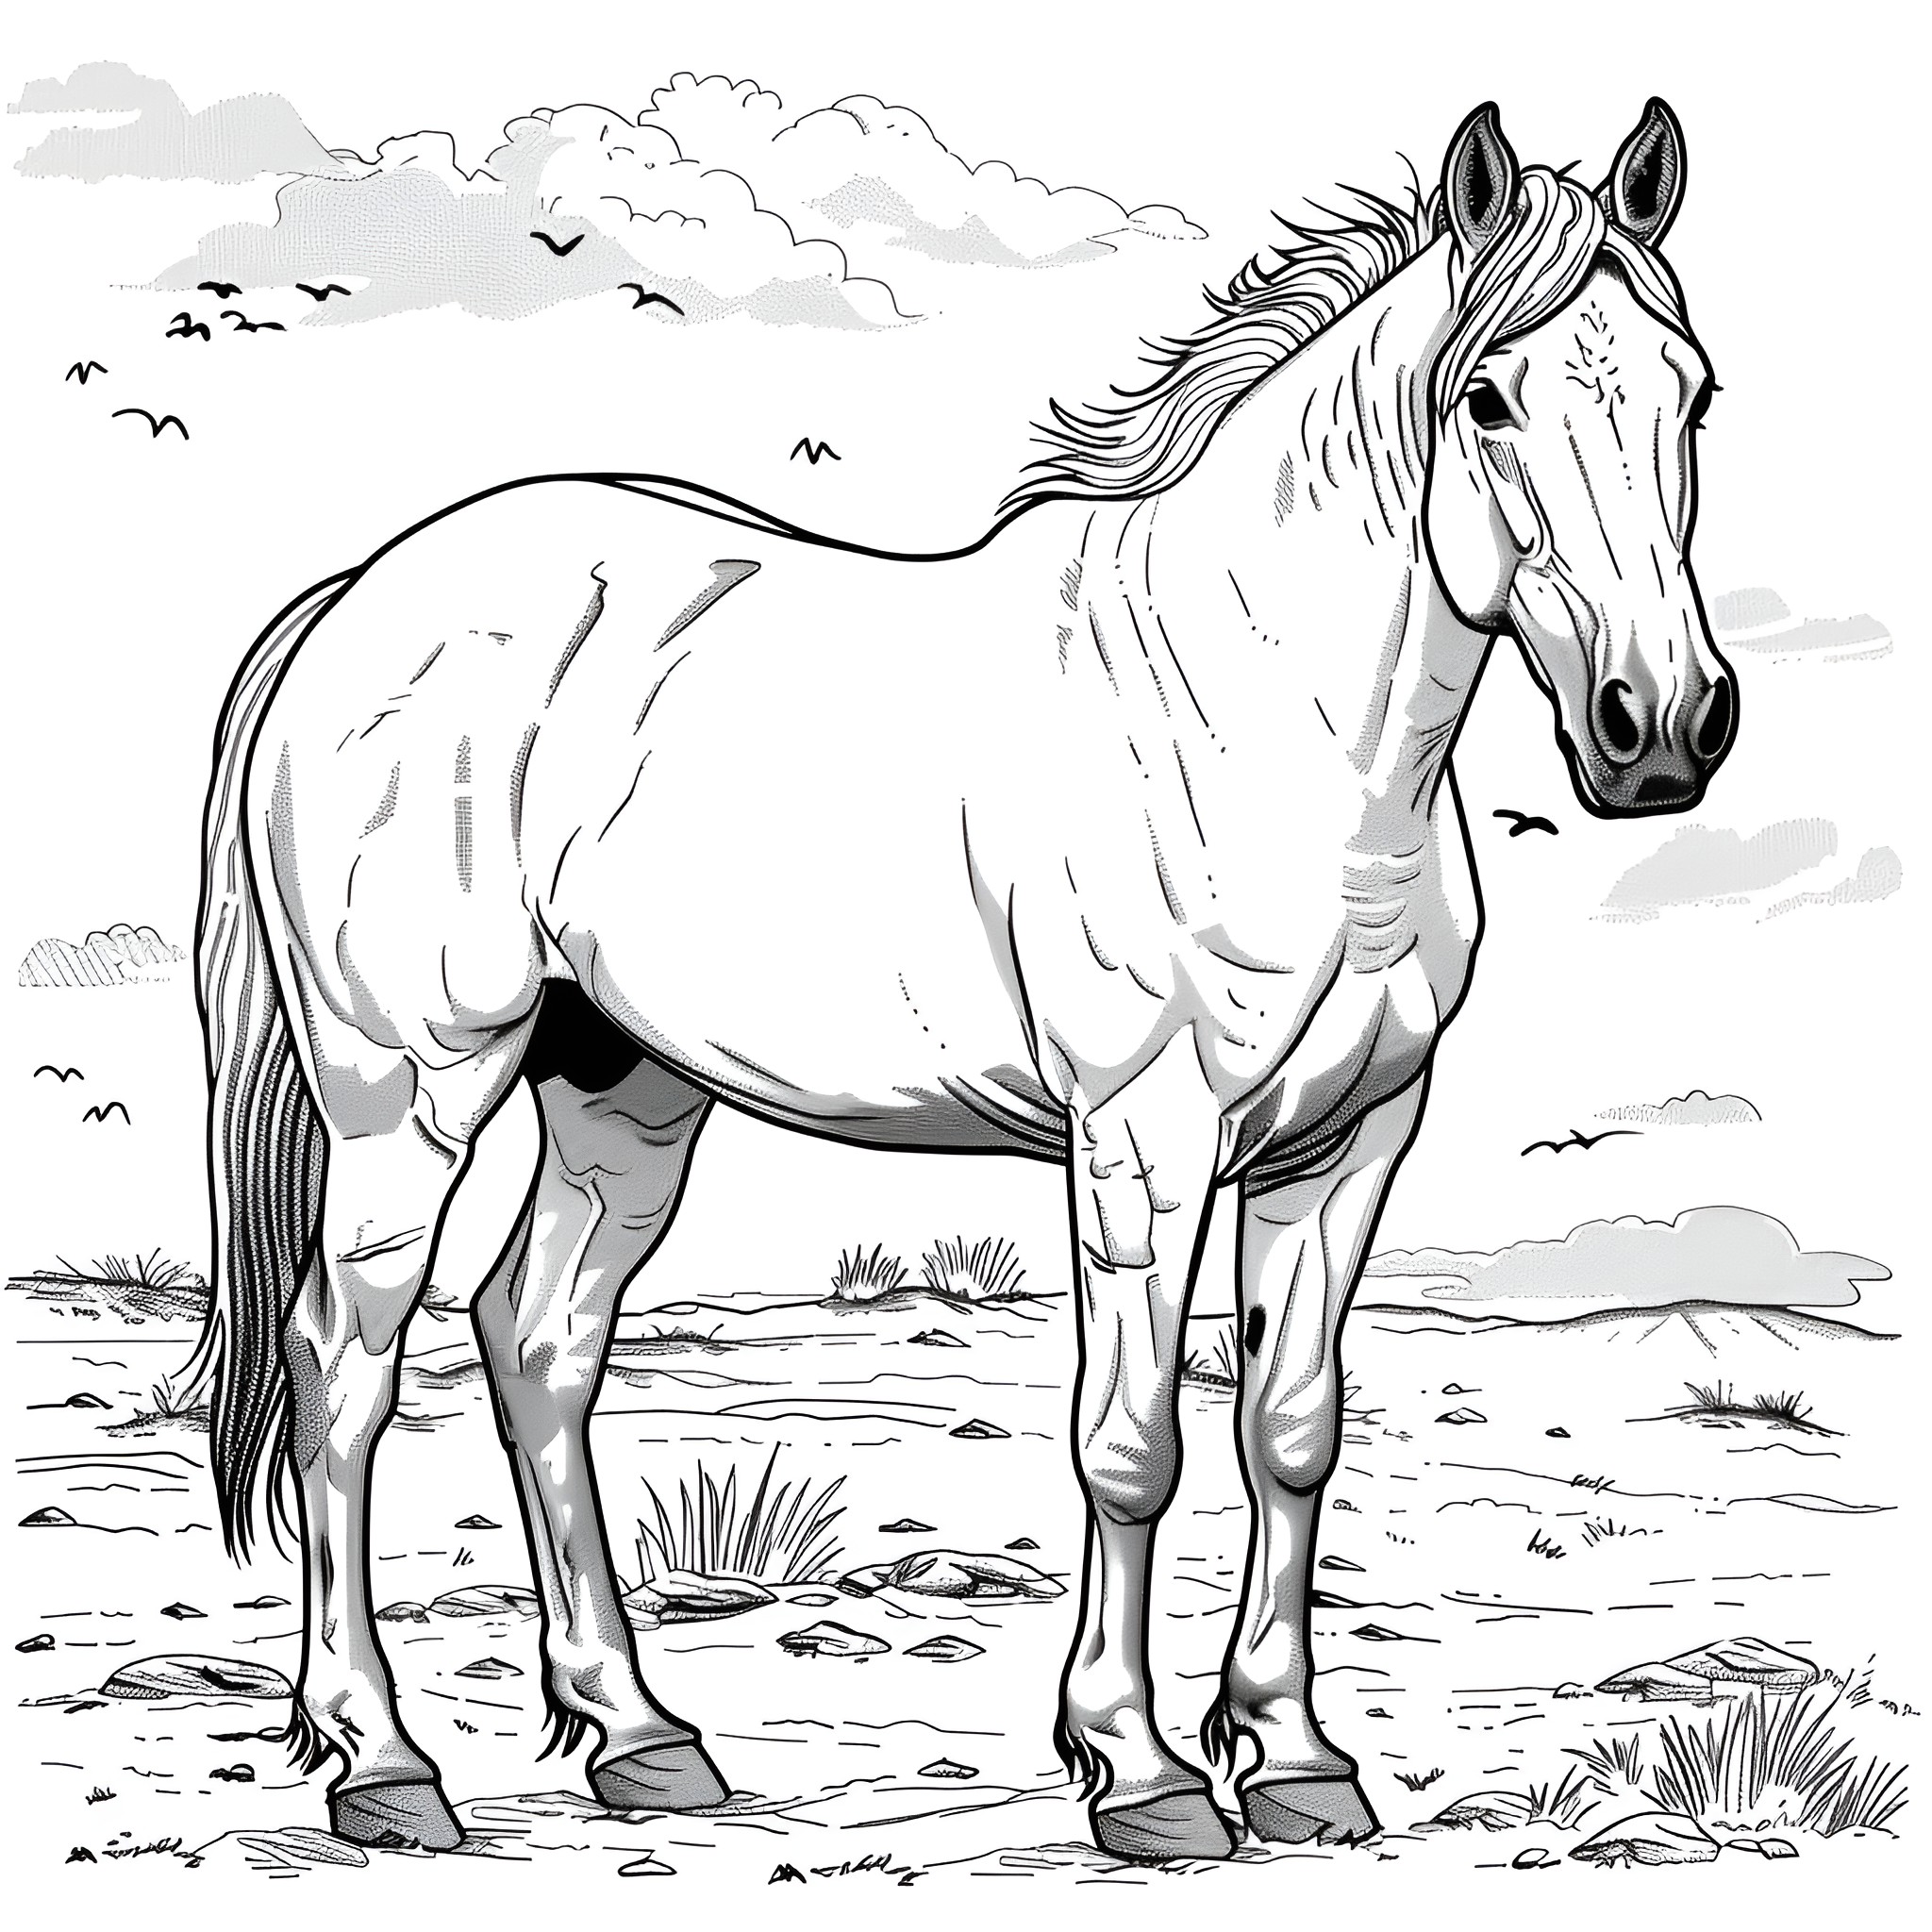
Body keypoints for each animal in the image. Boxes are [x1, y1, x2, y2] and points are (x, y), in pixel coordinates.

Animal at [191, 99, 1732, 1862]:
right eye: (1485, 397)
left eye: (1692, 390)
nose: (1661, 727)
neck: (1254, 715)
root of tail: (355, 601)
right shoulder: (1143, 1141)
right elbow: (1130, 1442)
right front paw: (1138, 1770)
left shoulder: (1349, 1142)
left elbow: (1290, 1429)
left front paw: (1293, 1761)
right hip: (411, 1091)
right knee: (344, 1364)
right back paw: (382, 1763)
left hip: (618, 1093)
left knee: (539, 1342)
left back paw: (638, 1734)